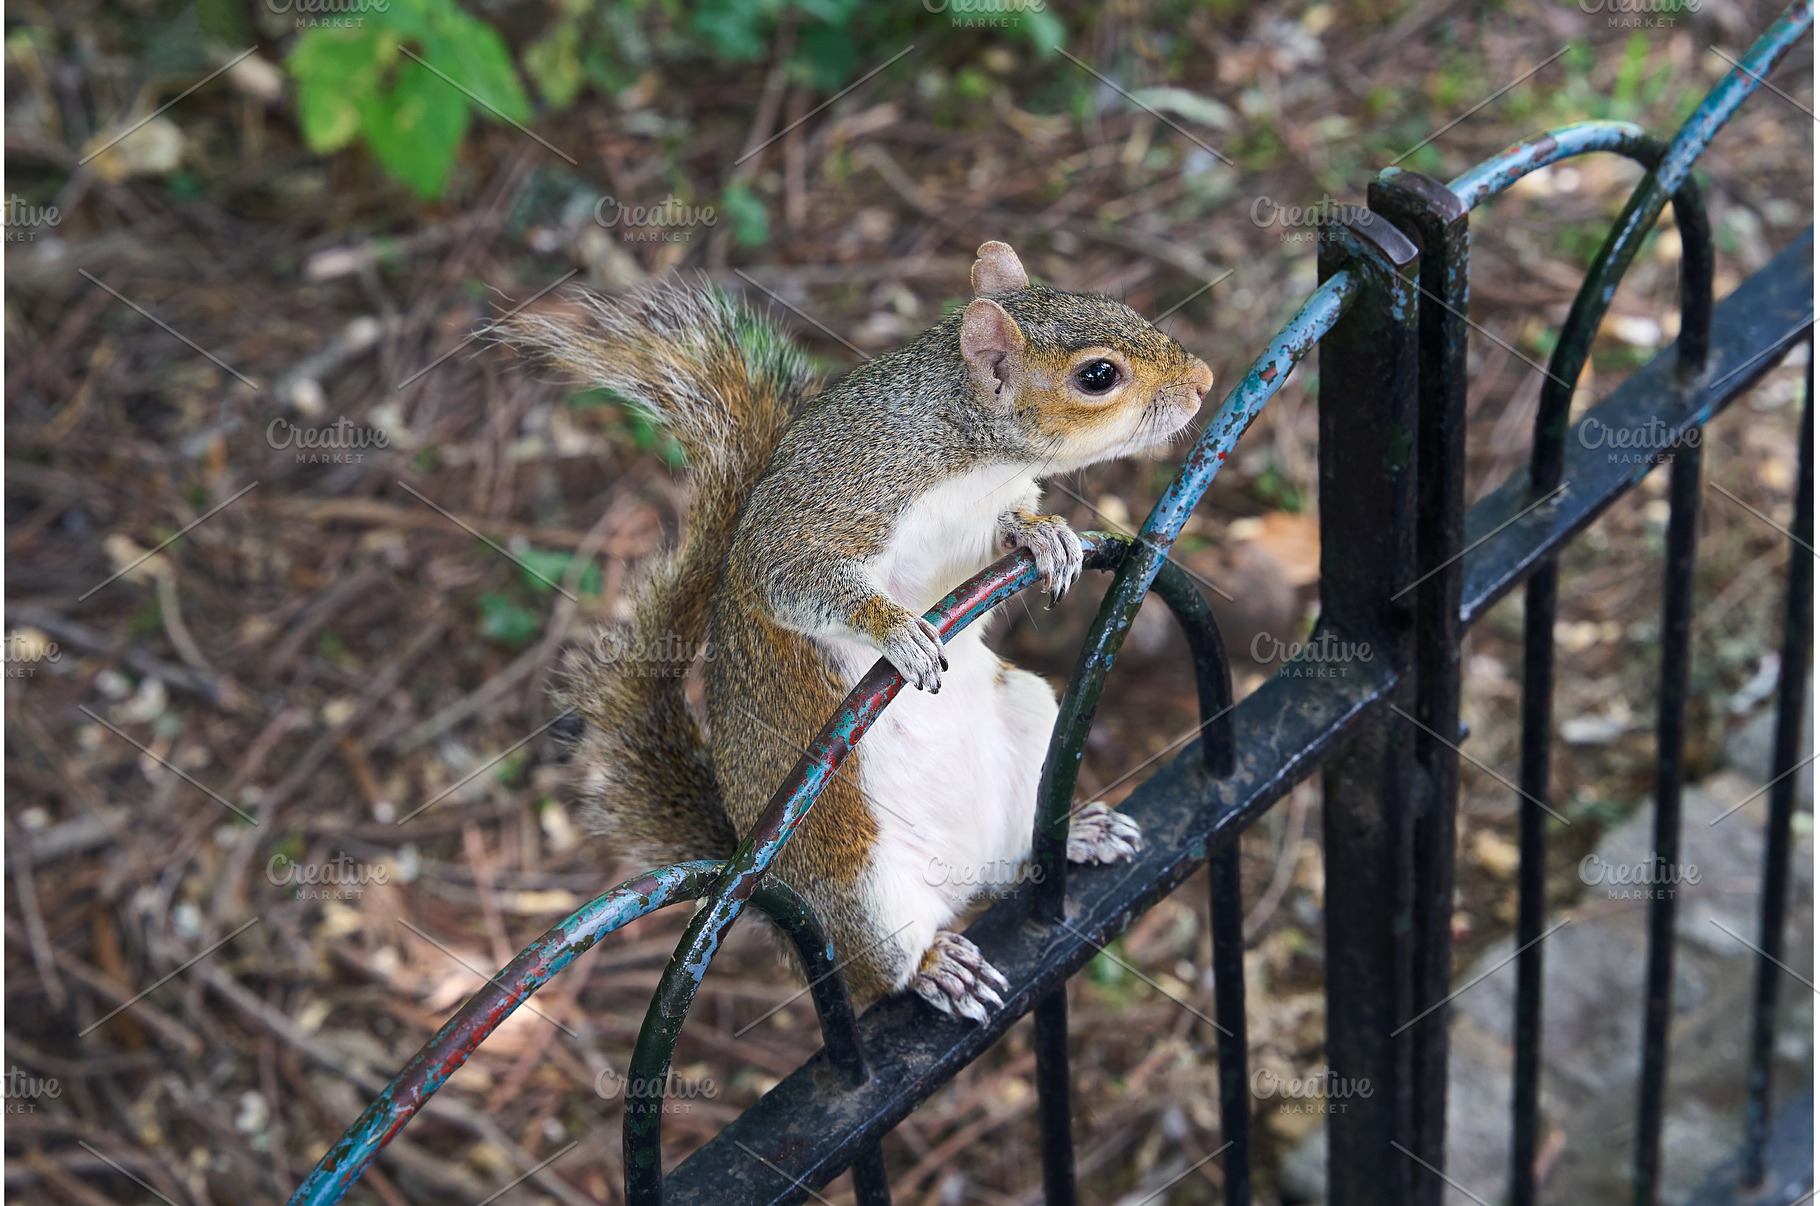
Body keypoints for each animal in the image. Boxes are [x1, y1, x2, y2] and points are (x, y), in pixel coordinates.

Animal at [503, 241, 1213, 1021]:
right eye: (1098, 376)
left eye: (1114, 305)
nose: (1204, 381)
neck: (970, 452)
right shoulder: (836, 500)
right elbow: (795, 582)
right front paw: (897, 630)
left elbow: (996, 544)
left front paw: (1042, 534)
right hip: (860, 886)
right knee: (881, 972)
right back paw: (937, 967)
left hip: (1024, 721)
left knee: (1017, 863)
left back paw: (1075, 833)